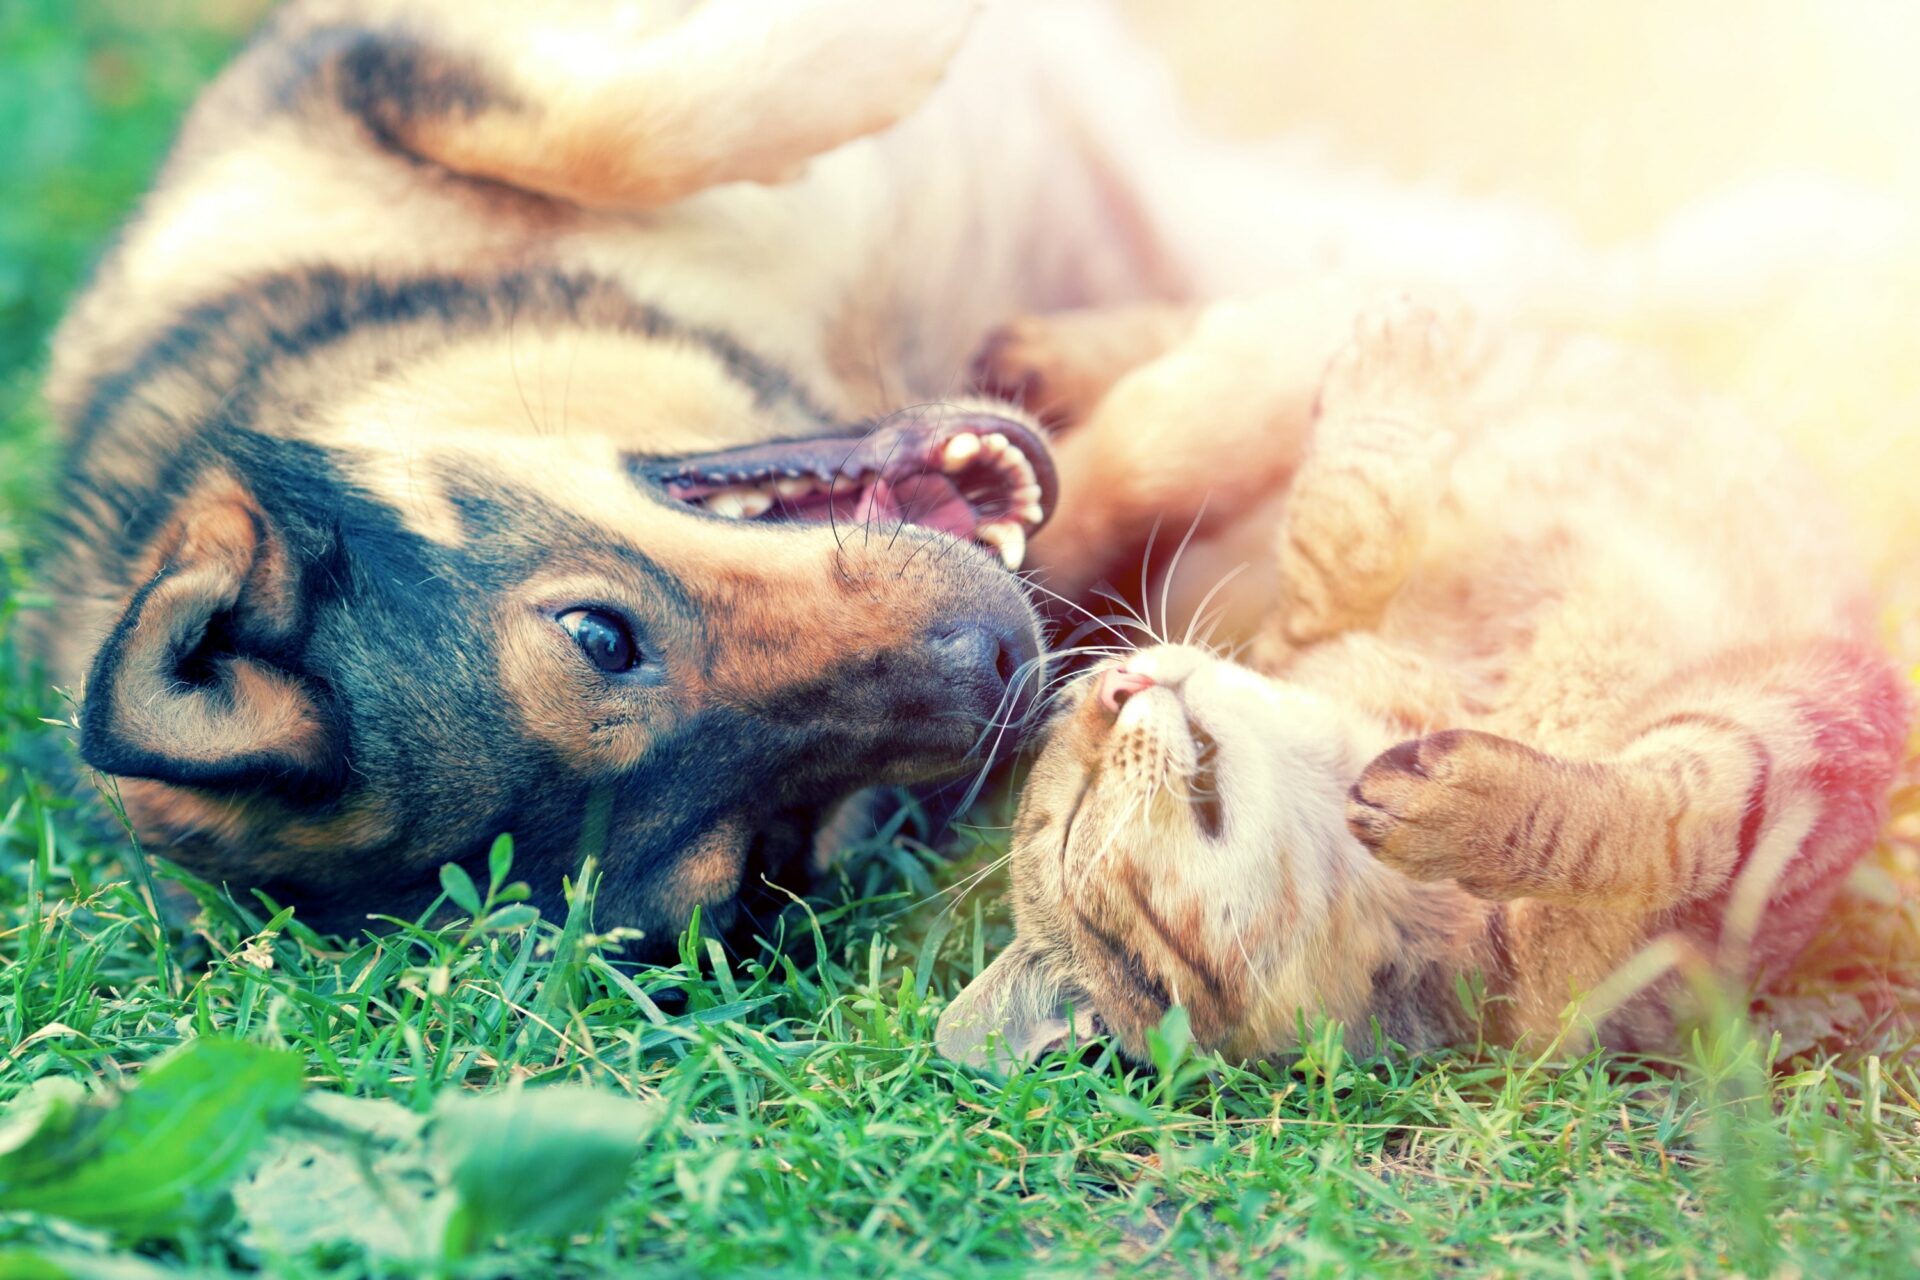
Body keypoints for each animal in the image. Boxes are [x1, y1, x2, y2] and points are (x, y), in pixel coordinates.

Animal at [933, 301, 1904, 1074]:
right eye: (1069, 821)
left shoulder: (1809, 717)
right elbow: (1663, 829)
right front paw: (1474, 811)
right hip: (1178, 433)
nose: (1111, 682)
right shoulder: (1808, 738)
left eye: (1078, 714)